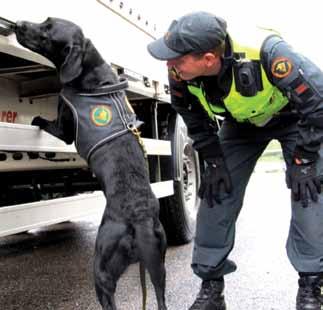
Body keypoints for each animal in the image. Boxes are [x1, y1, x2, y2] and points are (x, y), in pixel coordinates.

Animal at [14, 18, 167, 308]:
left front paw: (35, 120)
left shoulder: (63, 127)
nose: (18, 24)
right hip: (158, 267)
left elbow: (46, 123)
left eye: (47, 28)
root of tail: (140, 221)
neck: (92, 72)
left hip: (102, 268)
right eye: (45, 20)